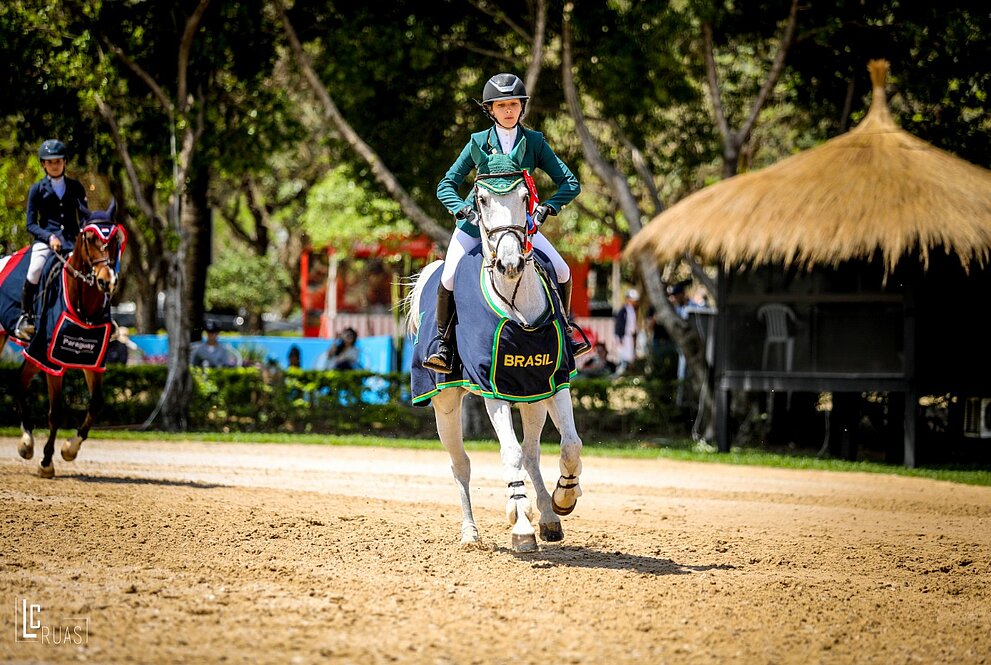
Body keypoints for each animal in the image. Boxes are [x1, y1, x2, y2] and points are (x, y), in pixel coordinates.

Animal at [0, 198, 126, 478]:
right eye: (89, 238)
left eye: (115, 239)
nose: (106, 281)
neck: (84, 306)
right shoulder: (51, 361)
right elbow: (56, 412)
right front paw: (47, 461)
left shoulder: (93, 361)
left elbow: (96, 404)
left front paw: (70, 448)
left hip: (33, 353)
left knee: (17, 384)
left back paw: (26, 443)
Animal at [406, 144, 584, 548]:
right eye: (482, 200)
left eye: (524, 198)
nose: (510, 263)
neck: (518, 305)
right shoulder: (492, 389)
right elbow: (509, 453)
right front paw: (520, 524)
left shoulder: (556, 380)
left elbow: (570, 445)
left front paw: (564, 497)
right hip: (444, 402)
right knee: (461, 463)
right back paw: (470, 532)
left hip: (533, 397)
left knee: (533, 453)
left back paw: (549, 517)